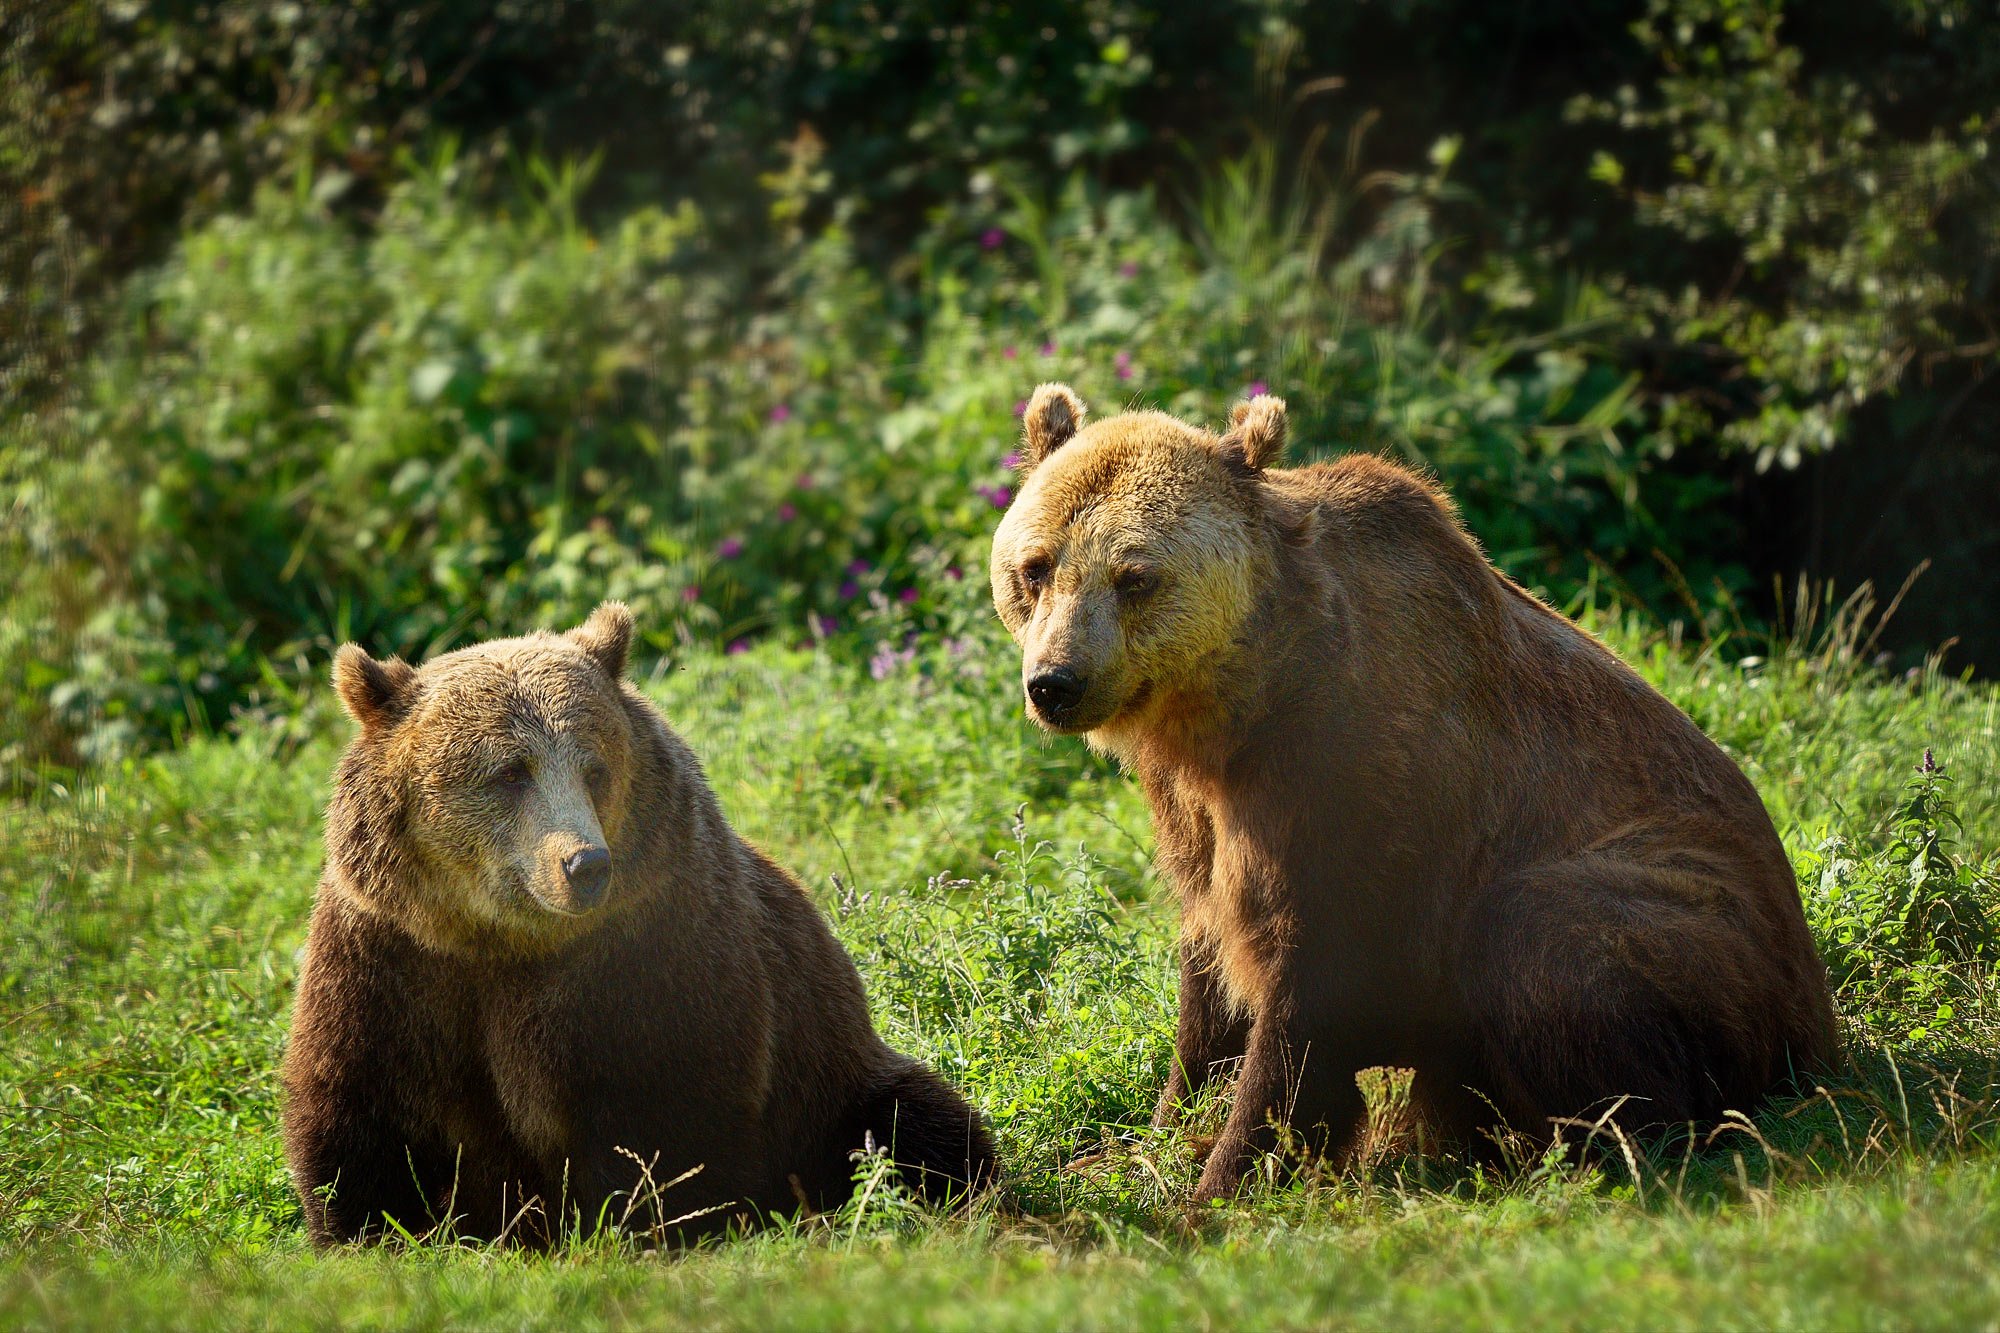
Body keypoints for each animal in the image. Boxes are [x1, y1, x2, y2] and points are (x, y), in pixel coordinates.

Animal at [278, 600, 996, 1248]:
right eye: (509, 771)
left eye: (594, 767)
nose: (585, 864)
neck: (502, 941)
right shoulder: (393, 960)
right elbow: (359, 1111)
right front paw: (367, 1235)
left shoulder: (651, 948)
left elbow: (664, 1105)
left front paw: (648, 1223)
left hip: (833, 1079)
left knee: (918, 1125)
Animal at [992, 382, 1832, 1192]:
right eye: (1035, 566)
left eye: (1135, 575)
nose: (1056, 682)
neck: (1242, 703)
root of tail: (1819, 1025)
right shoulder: (1195, 807)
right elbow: (1210, 968)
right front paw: (1151, 1138)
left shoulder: (1364, 777)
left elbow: (1315, 988)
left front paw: (1229, 1173)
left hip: (1704, 925)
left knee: (1547, 931)